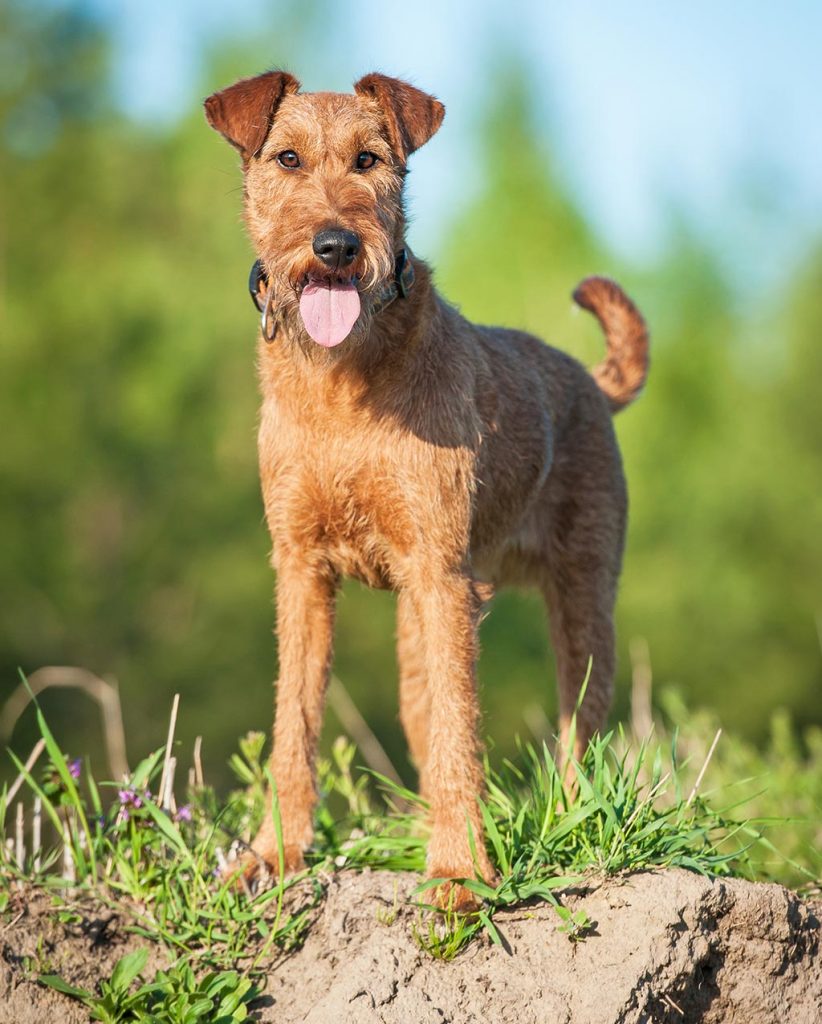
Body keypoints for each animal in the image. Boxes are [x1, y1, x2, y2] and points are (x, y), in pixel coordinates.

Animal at [203, 70, 651, 905]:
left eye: (371, 160)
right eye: (287, 158)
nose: (337, 246)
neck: (342, 384)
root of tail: (589, 382)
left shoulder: (444, 576)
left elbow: (458, 734)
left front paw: (459, 875)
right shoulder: (302, 570)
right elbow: (294, 724)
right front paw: (273, 855)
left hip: (583, 599)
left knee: (582, 730)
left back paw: (569, 823)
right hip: (419, 617)